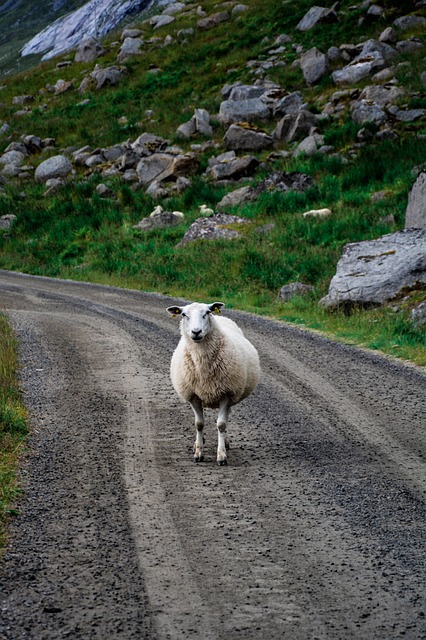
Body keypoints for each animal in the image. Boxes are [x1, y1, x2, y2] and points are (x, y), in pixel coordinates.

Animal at [166, 300, 260, 464]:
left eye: (207, 313)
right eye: (184, 314)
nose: (196, 332)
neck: (203, 364)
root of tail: (222, 318)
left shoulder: (227, 394)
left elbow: (221, 425)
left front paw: (221, 455)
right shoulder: (193, 396)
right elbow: (199, 424)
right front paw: (198, 453)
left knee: (226, 417)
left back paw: (225, 442)